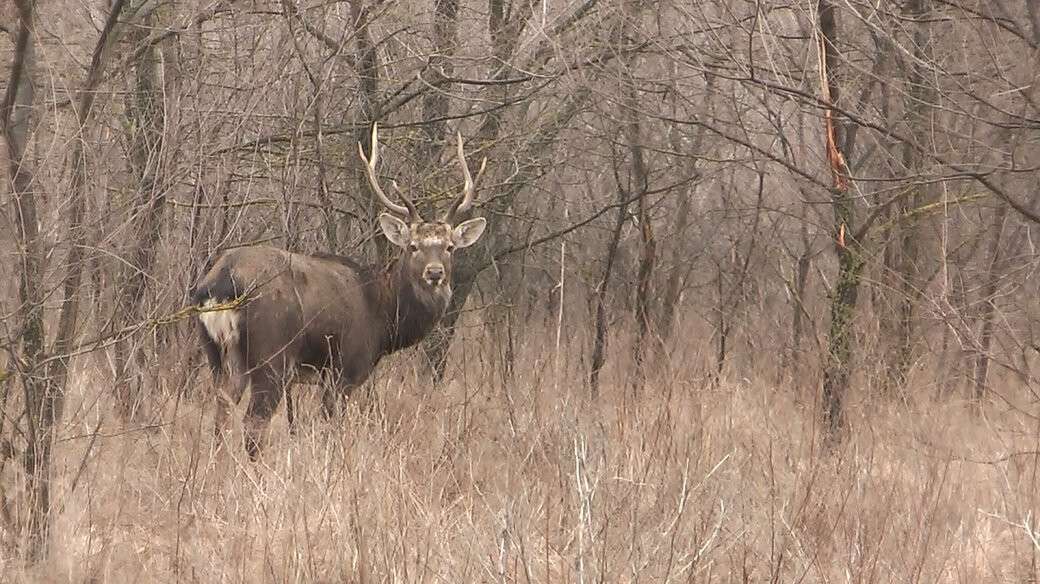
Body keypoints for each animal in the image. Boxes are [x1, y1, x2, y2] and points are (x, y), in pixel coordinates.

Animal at [192, 123, 490, 459]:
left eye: (450, 247)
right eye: (413, 246)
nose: (435, 272)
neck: (383, 318)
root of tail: (221, 281)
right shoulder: (345, 368)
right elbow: (331, 430)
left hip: (218, 357)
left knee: (220, 416)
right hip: (272, 355)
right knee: (253, 424)